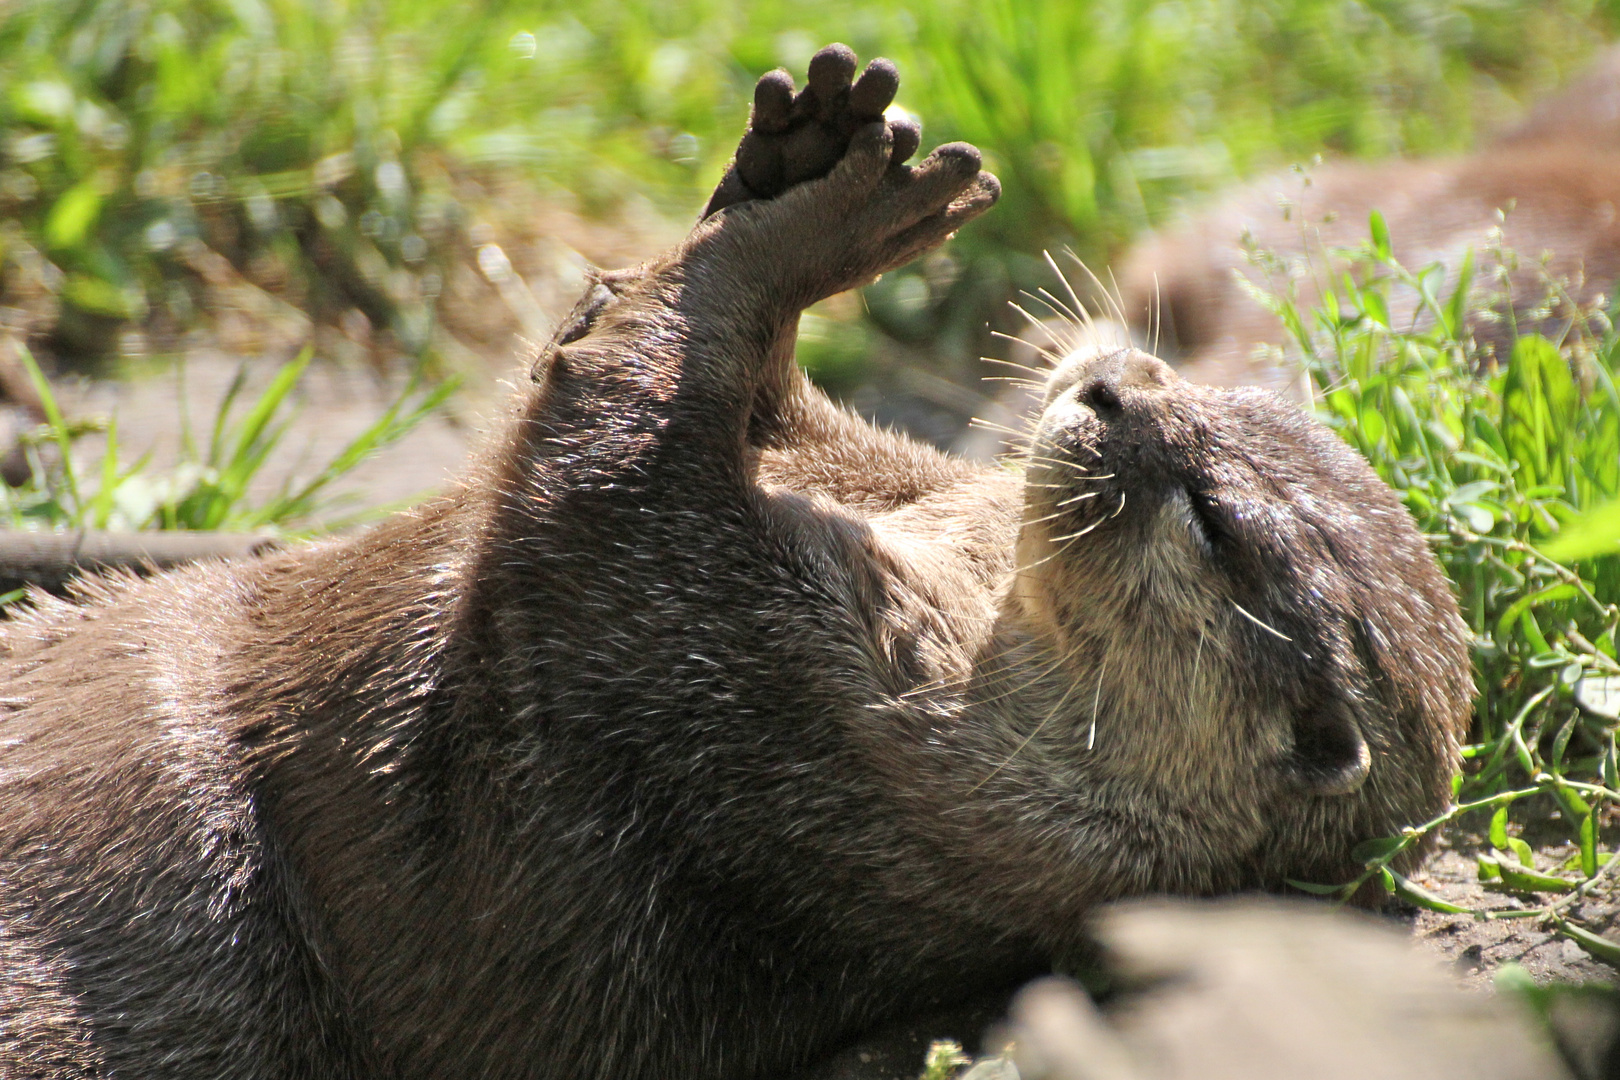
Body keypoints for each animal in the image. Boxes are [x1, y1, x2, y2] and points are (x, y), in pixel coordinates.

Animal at [0, 44, 1477, 1080]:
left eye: (1214, 516)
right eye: (1193, 385)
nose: (1112, 383)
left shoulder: (733, 680)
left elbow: (596, 457)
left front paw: (791, 236)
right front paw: (791, 165)